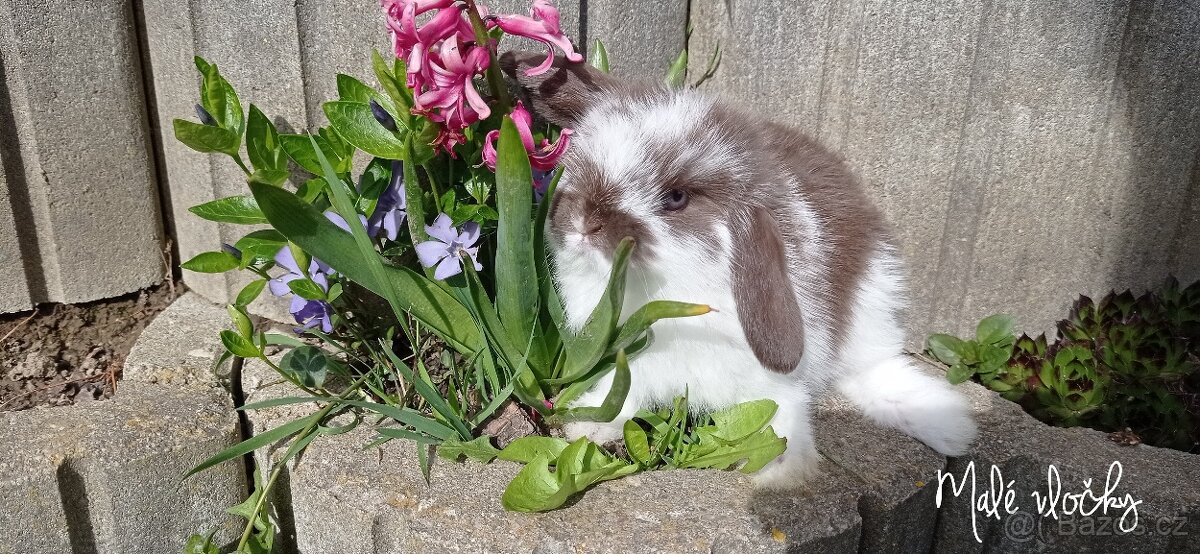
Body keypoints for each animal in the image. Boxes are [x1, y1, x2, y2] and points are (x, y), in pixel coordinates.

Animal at [501, 50, 979, 484]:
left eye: (676, 198)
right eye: (578, 165)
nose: (585, 221)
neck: (674, 293)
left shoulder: (773, 379)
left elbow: (783, 414)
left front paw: (781, 471)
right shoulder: (634, 360)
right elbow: (622, 394)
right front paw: (587, 426)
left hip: (872, 303)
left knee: (871, 369)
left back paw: (950, 427)